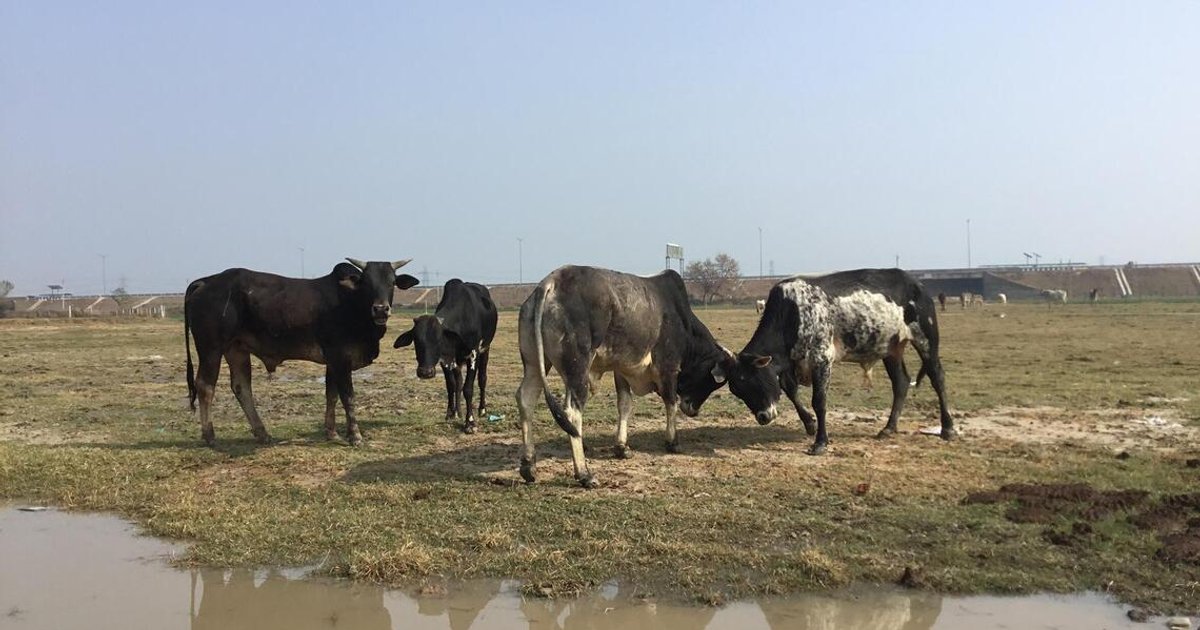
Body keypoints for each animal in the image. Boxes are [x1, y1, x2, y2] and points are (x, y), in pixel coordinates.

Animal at [184, 259, 419, 446]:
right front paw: (355, 436)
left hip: (237, 349)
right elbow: (348, 397)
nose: (381, 309)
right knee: (205, 387)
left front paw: (331, 433)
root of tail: (206, 281)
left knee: (242, 387)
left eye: (392, 282)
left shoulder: (332, 362)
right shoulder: (340, 359)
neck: (351, 304)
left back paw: (262, 433)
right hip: (211, 348)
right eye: (367, 282)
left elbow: (331, 395)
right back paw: (210, 436)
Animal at [393, 279, 498, 434]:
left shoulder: (473, 354)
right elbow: (451, 386)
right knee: (458, 382)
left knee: (482, 379)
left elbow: (468, 389)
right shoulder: (445, 360)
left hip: (486, 349)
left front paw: (470, 423)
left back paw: (482, 410)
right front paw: (450, 413)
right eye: (416, 340)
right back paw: (458, 411)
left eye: (438, 339)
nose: (425, 372)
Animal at [516, 265, 731, 488]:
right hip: (578, 369)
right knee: (572, 412)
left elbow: (625, 405)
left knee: (526, 399)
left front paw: (621, 447)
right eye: (710, 382)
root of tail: (551, 282)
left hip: (535, 363)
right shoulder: (668, 367)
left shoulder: (623, 370)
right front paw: (673, 442)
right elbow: (670, 403)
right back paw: (584, 474)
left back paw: (529, 466)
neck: (682, 320)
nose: (693, 411)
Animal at [714, 269, 955, 455]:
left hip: (926, 339)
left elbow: (819, 401)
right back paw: (889, 427)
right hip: (891, 349)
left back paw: (948, 428)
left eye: (753, 380)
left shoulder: (821, 359)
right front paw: (810, 424)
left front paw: (820, 442)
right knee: (901, 382)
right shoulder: (792, 362)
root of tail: (917, 283)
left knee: (937, 377)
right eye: (738, 389)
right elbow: (790, 390)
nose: (763, 417)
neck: (792, 312)